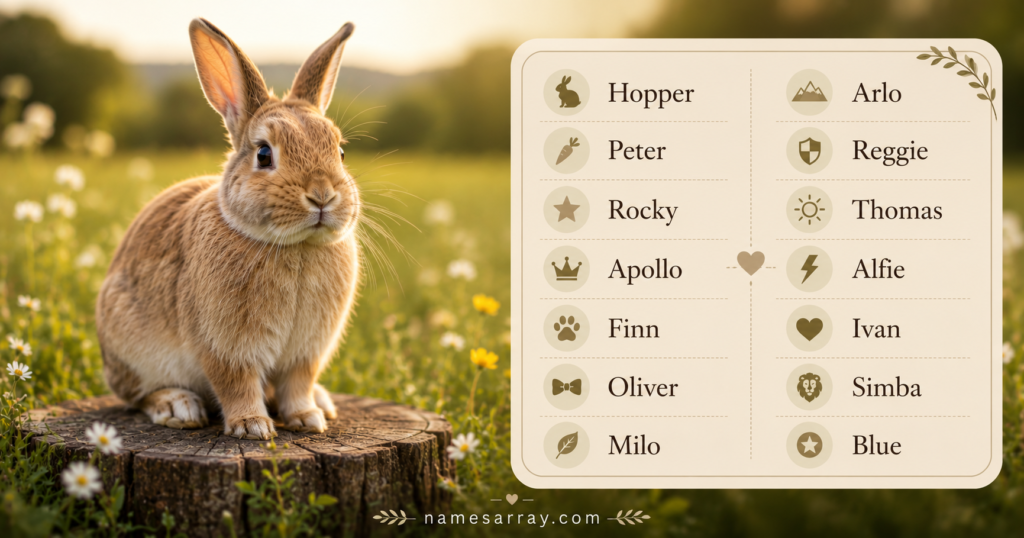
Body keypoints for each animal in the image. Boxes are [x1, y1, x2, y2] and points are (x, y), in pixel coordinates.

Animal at [95, 18, 362, 440]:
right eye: (264, 154)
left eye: (340, 151)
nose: (322, 195)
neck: (296, 246)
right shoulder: (225, 347)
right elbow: (236, 383)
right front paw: (252, 427)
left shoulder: (306, 353)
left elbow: (298, 384)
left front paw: (307, 419)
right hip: (131, 348)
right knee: (137, 396)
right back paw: (178, 407)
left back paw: (322, 402)